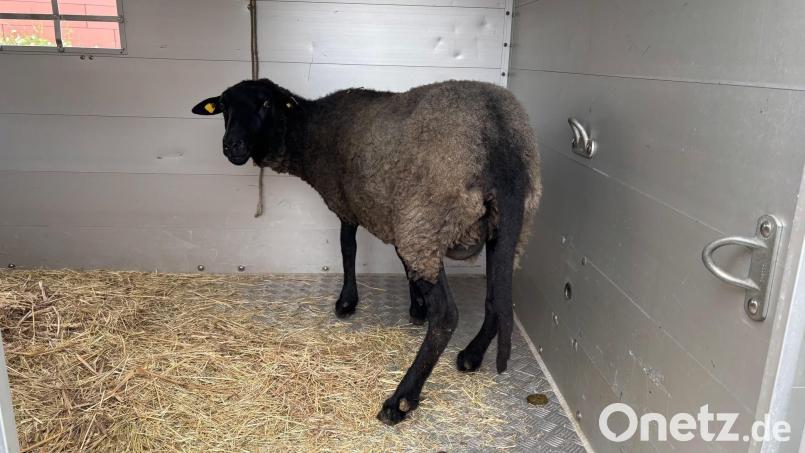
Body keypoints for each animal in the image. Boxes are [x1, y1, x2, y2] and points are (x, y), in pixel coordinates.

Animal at [191, 78, 541, 425]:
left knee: (447, 315)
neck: (310, 129)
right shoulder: (393, 213)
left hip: (427, 220)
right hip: (505, 228)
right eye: (223, 106)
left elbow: (348, 248)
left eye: (265, 103)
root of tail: (498, 136)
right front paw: (416, 307)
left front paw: (347, 301)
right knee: (498, 296)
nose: (232, 145)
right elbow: (402, 262)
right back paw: (472, 354)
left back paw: (401, 400)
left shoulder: (352, 205)